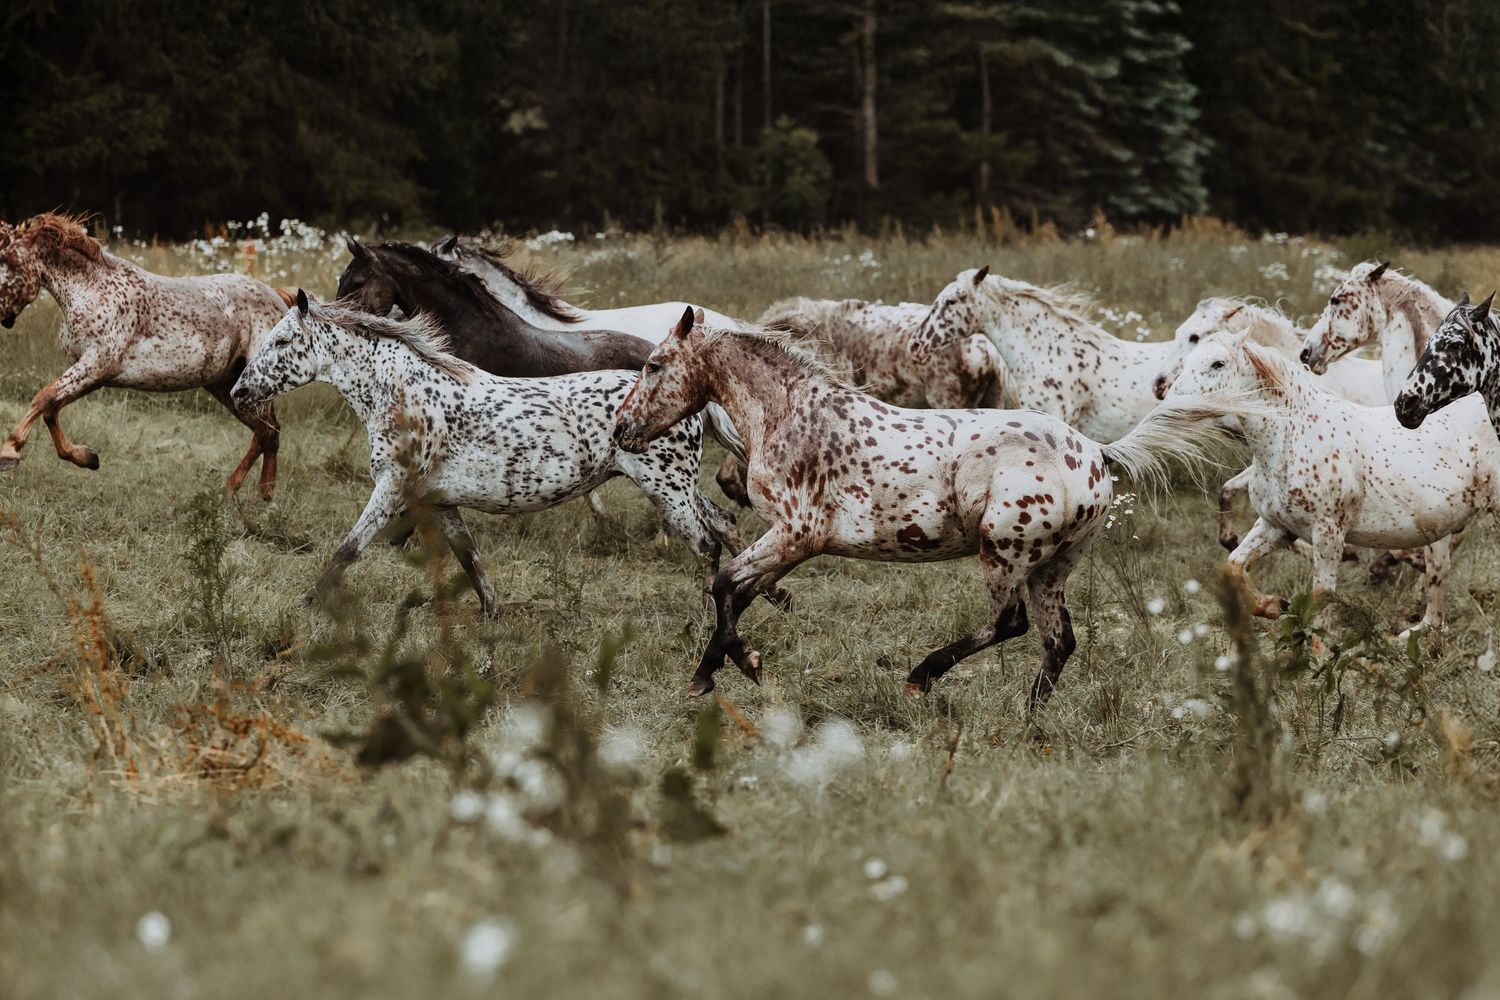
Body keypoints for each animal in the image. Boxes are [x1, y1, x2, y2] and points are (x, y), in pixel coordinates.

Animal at [0, 213, 292, 497]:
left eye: (8, 263)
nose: (3, 317)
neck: (91, 289)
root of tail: (280, 299)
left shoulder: (96, 365)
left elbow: (43, 398)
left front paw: (9, 452)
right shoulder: (94, 376)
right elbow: (51, 409)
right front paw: (88, 457)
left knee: (266, 432)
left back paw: (237, 489)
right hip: (227, 386)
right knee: (269, 432)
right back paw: (262, 496)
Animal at [229, 292, 744, 615]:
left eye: (281, 341)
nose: (239, 391)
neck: (402, 393)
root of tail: (698, 404)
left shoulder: (392, 489)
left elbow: (348, 550)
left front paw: (306, 604)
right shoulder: (440, 501)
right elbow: (470, 559)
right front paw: (491, 613)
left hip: (666, 490)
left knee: (707, 544)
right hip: (678, 488)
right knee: (726, 524)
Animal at [612, 307, 1256, 709]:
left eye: (653, 365)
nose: (621, 429)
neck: (793, 415)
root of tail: (1095, 453)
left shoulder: (796, 533)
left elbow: (724, 582)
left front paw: (732, 668)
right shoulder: (793, 543)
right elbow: (739, 591)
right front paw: (717, 669)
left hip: (1004, 550)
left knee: (1009, 624)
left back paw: (923, 678)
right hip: (1054, 566)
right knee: (1058, 642)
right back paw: (1029, 718)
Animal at [1167, 334, 1500, 631]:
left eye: (1218, 363)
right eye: (1186, 361)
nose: (1174, 403)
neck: (1293, 437)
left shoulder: (1328, 535)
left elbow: (1321, 599)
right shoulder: (1277, 526)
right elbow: (1233, 565)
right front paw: (1273, 606)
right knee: (1435, 600)